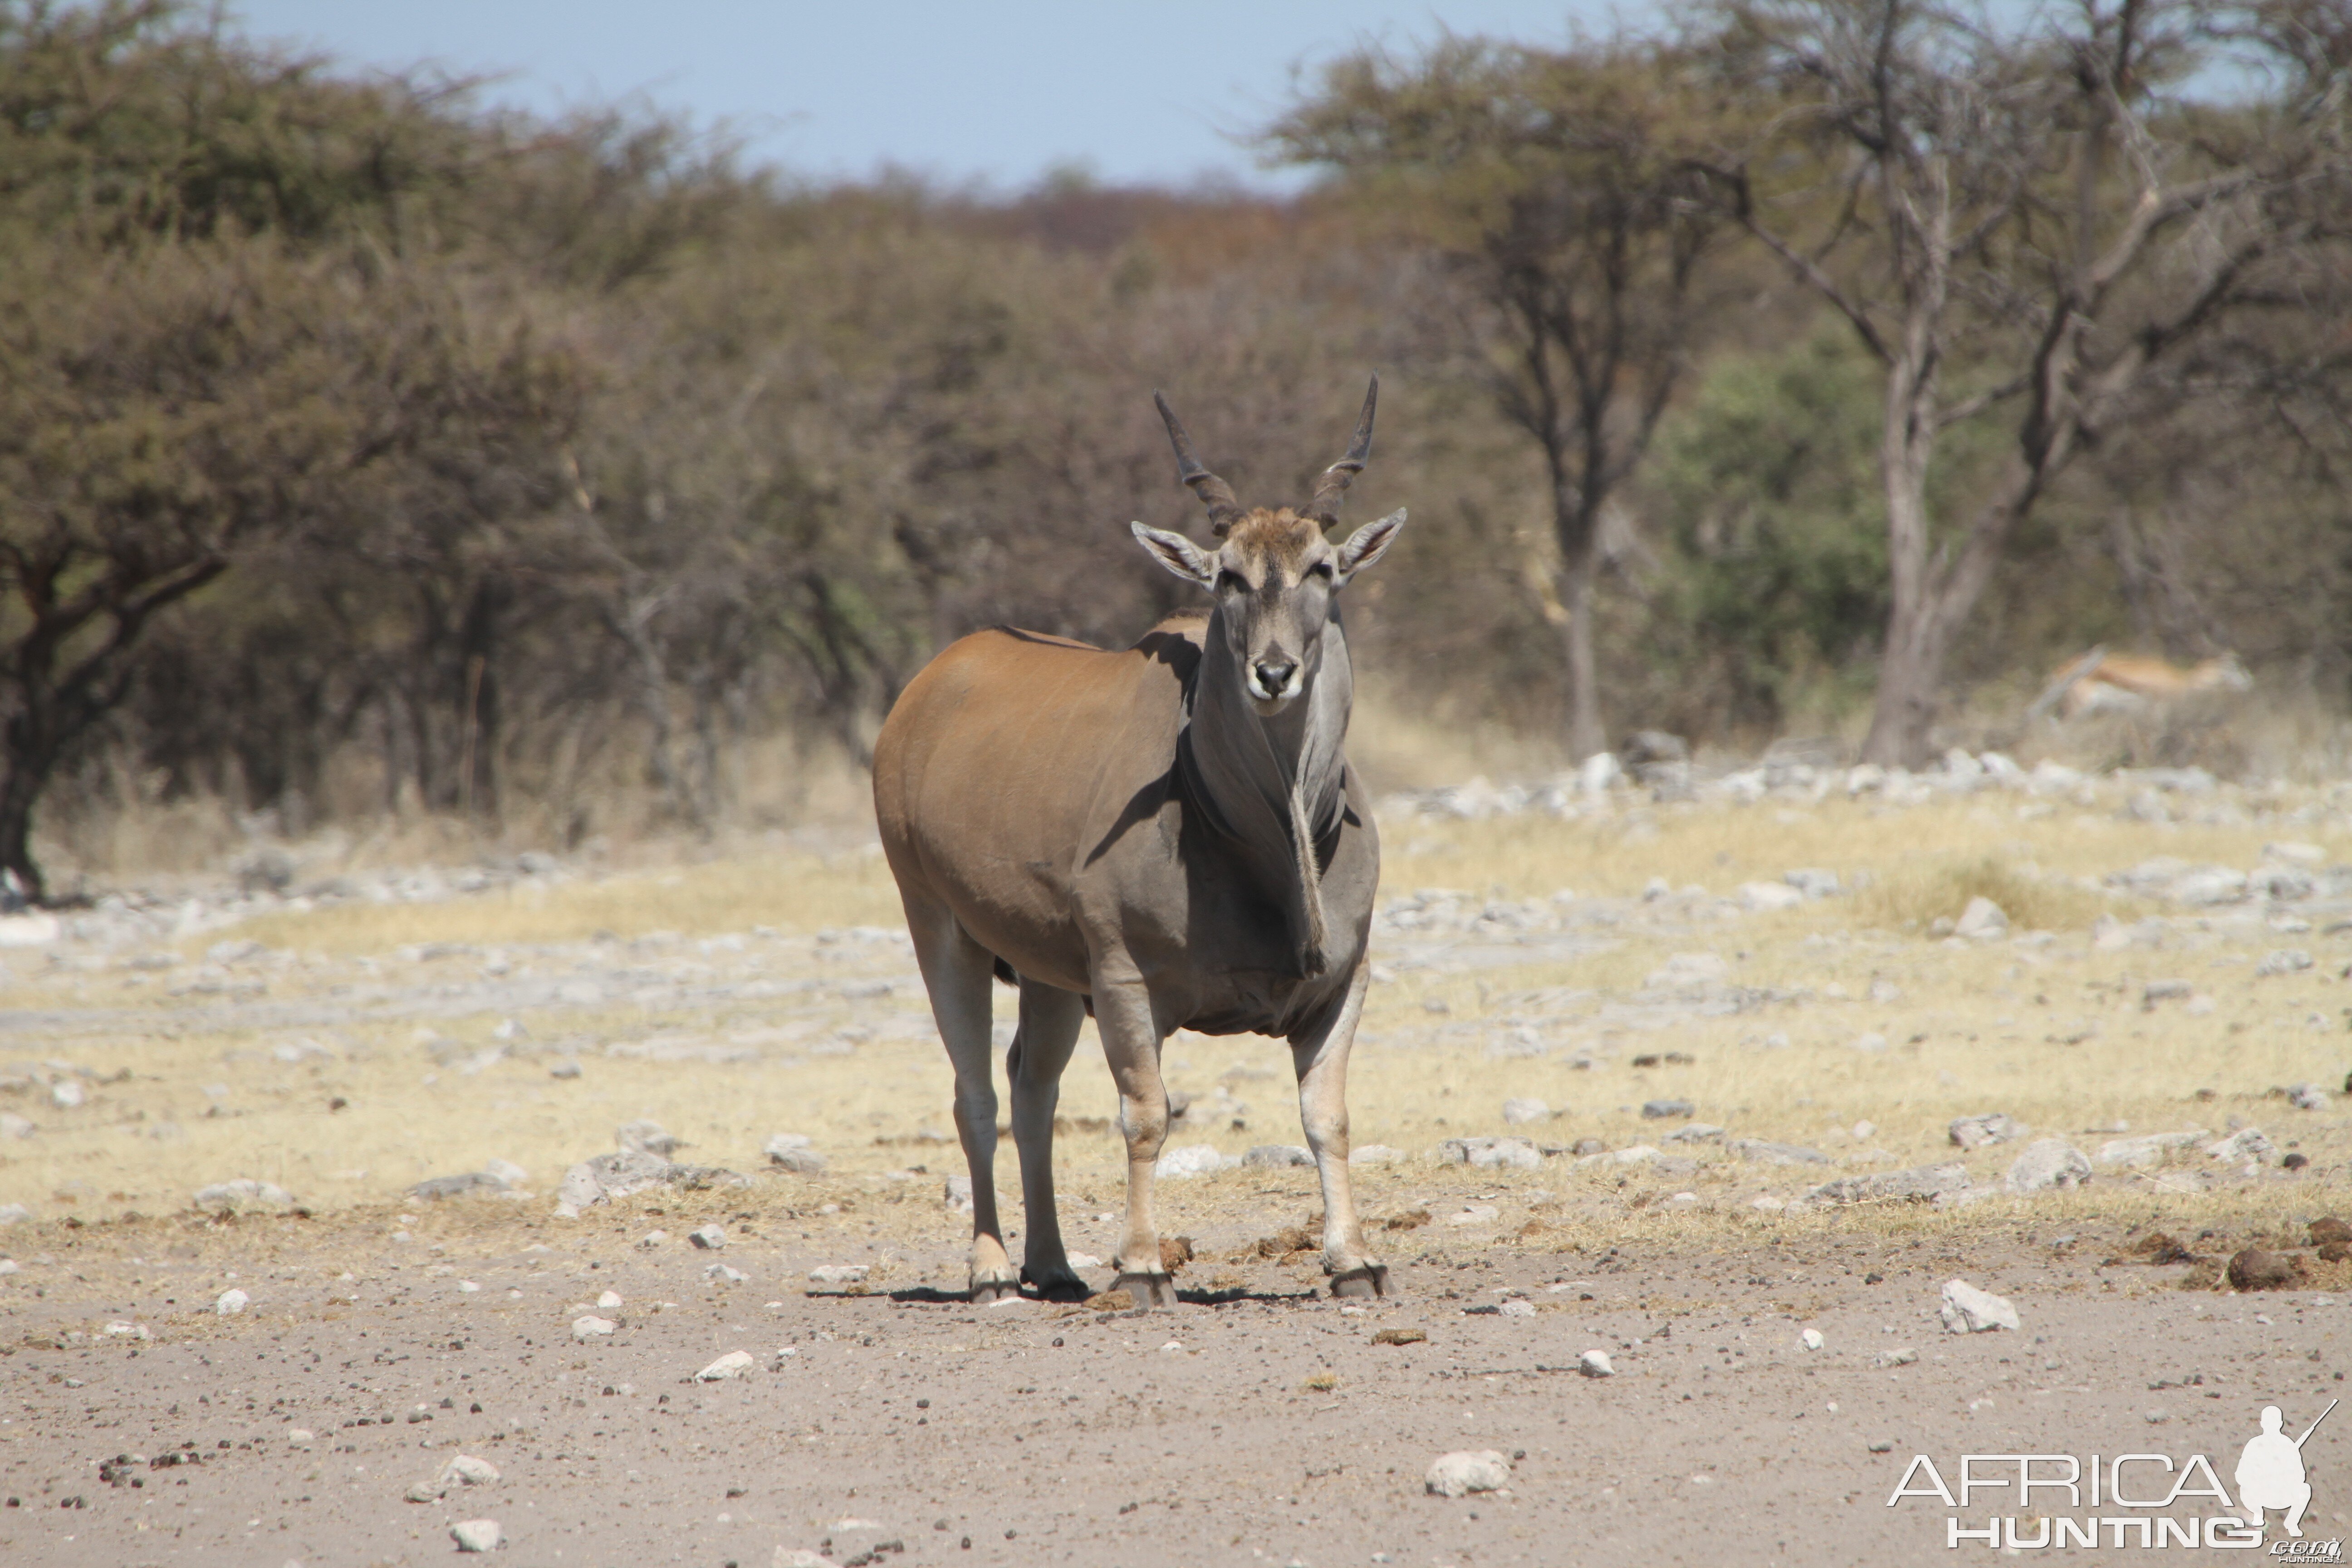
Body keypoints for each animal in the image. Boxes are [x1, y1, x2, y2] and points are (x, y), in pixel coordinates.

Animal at [875, 376, 1401, 1298]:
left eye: (1322, 569)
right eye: (1228, 576)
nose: (1272, 673)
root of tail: (923, 691)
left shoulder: (1344, 982)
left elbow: (1327, 1117)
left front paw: (1353, 1260)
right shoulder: (1124, 983)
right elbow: (1146, 1116)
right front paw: (1143, 1267)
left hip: (1048, 974)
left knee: (1030, 1090)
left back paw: (1052, 1266)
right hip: (939, 927)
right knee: (975, 1095)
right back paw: (990, 1270)